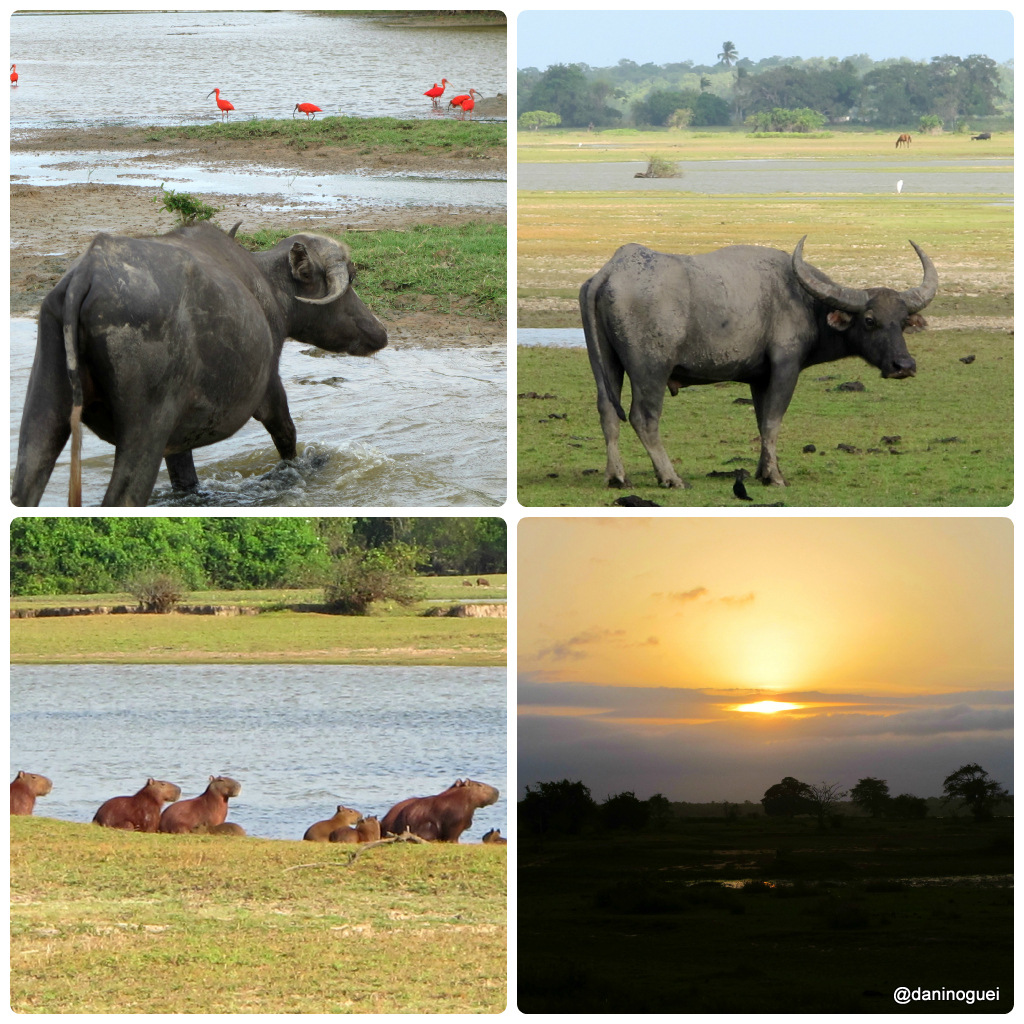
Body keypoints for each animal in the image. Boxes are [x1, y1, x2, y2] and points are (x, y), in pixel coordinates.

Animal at [11, 226, 387, 509]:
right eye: (351, 279)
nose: (380, 332)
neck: (267, 289)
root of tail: (86, 275)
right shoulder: (267, 386)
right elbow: (286, 433)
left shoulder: (178, 436)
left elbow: (184, 477)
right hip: (144, 430)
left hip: (45, 407)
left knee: (27, 480)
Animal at [577, 235, 937, 487]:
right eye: (870, 320)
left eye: (902, 321)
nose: (903, 365)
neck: (804, 301)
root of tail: (609, 272)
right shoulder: (785, 368)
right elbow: (773, 421)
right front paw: (775, 477)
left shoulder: (759, 378)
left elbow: (762, 422)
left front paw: (764, 471)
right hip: (651, 370)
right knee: (643, 418)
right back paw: (670, 477)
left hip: (604, 364)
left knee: (607, 410)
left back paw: (616, 476)